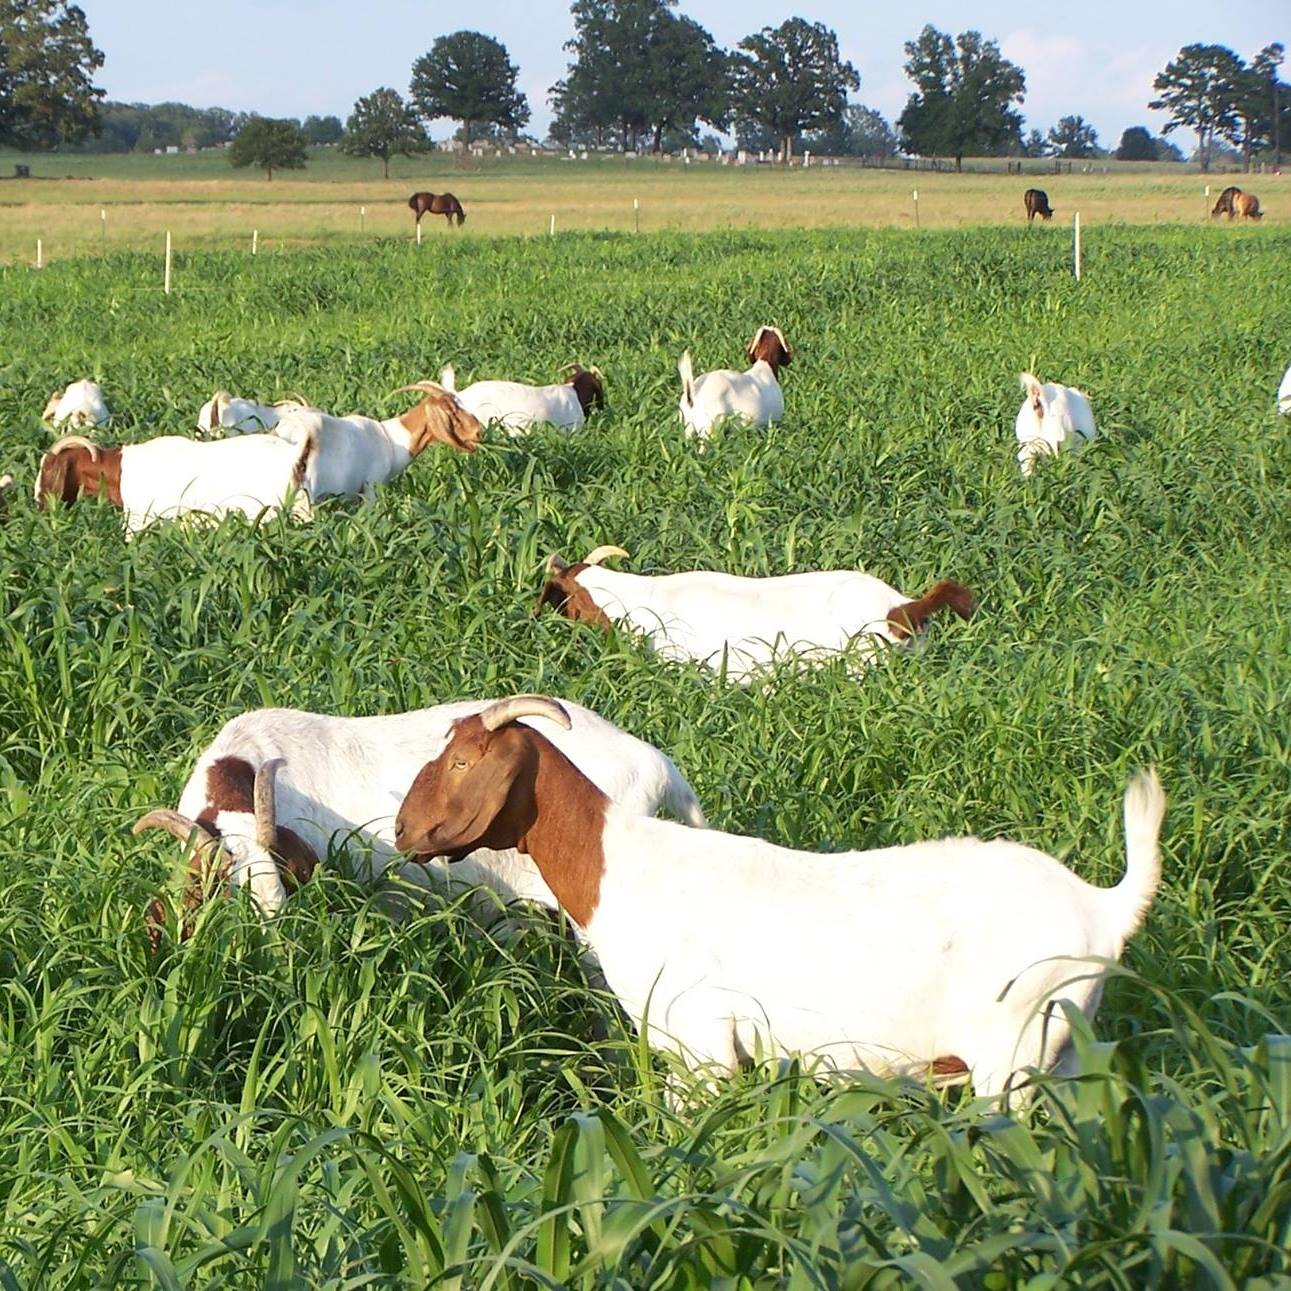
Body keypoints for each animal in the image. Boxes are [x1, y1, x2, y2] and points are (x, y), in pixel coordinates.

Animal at [395, 695, 1165, 1100]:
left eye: (461, 762)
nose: (403, 831)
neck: (621, 866)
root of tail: (1104, 905)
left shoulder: (701, 1040)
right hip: (1064, 1052)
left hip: (1013, 1055)